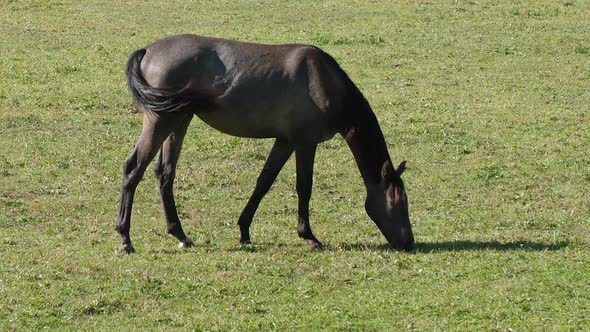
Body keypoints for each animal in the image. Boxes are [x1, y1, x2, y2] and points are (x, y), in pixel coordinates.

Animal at [115, 33, 414, 253]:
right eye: (399, 201)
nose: (409, 243)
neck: (326, 83)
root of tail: (147, 50)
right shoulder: (305, 142)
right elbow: (304, 187)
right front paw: (309, 236)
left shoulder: (285, 141)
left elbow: (264, 182)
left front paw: (244, 230)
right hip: (160, 121)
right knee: (133, 168)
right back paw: (125, 239)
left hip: (179, 120)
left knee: (165, 174)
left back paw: (180, 234)